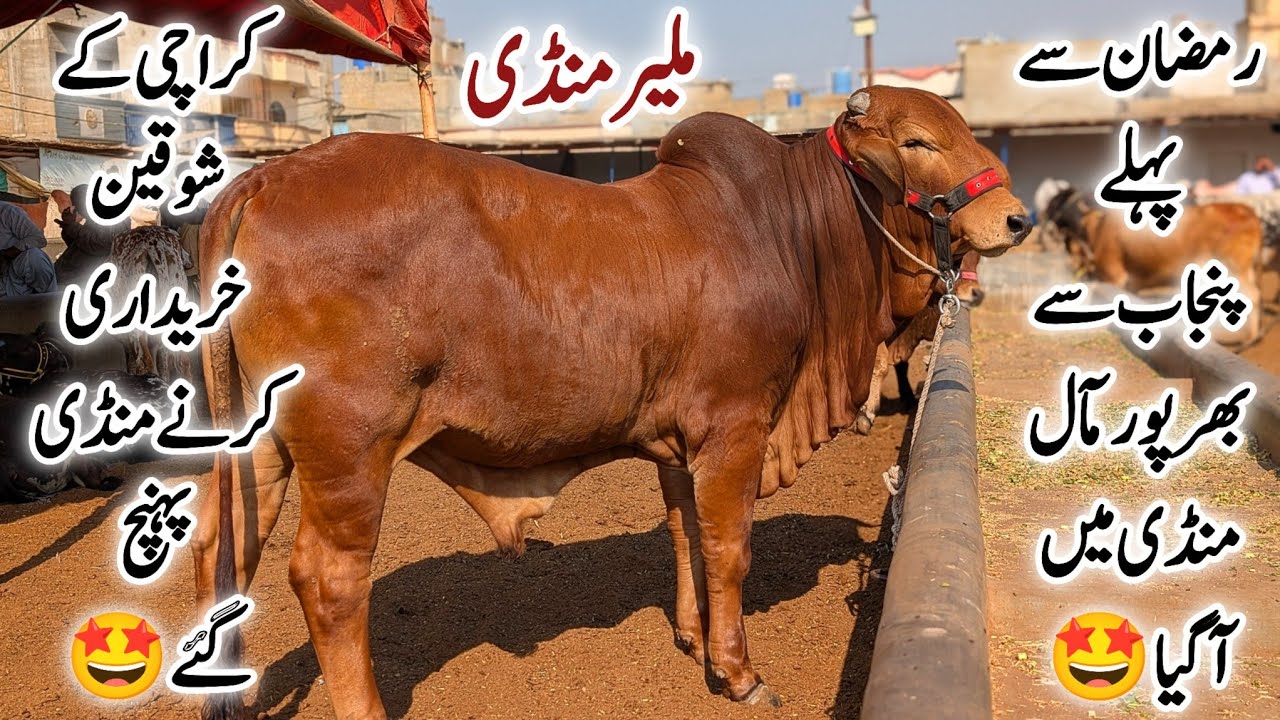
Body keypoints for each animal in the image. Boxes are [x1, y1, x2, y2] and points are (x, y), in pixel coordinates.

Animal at [1038, 181, 1263, 346]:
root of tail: (1246, 211)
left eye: (1057, 205)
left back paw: (1247, 339)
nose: (1043, 226)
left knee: (1252, 295)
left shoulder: (1113, 276)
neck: (1097, 226)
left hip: (1234, 266)